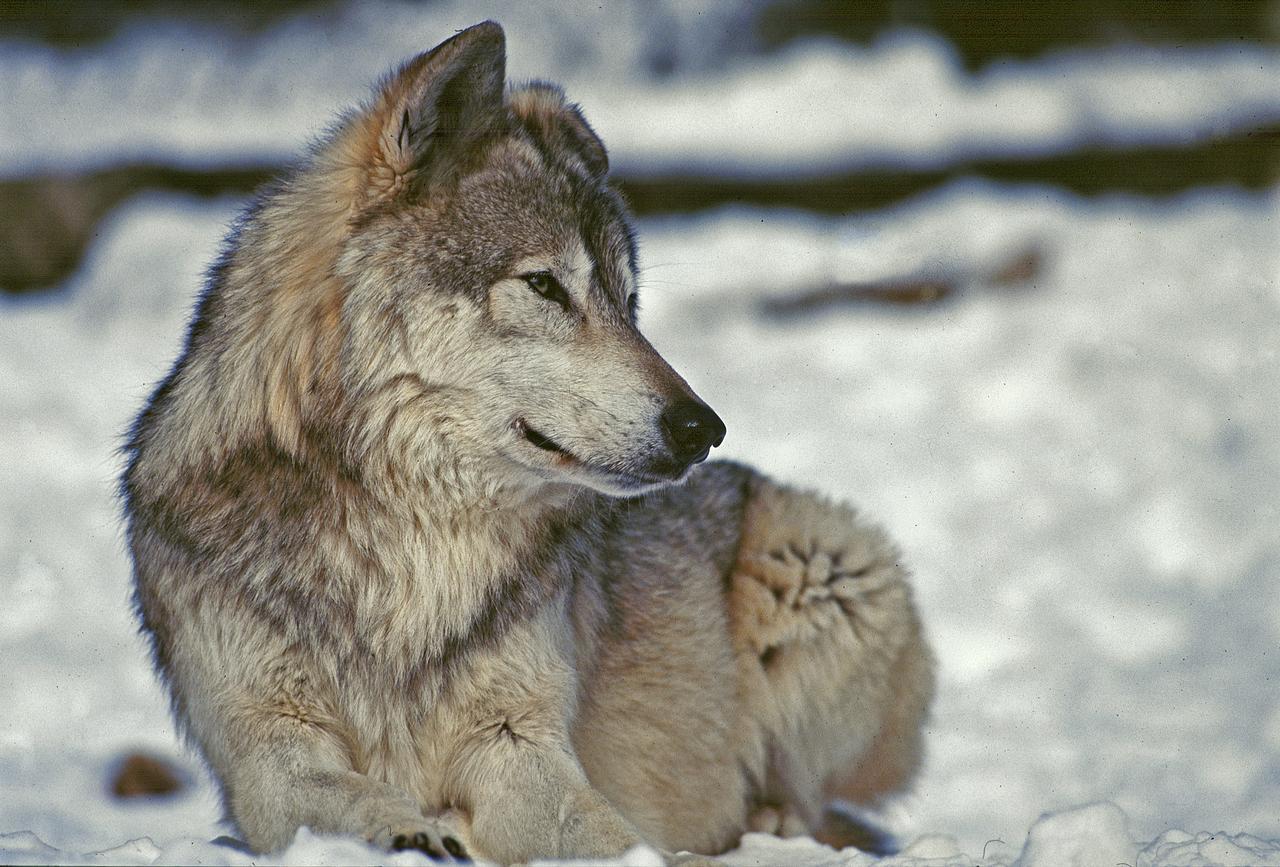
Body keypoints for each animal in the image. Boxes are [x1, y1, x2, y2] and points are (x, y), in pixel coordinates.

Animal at [122, 23, 931, 860]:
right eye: (545, 285)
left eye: (628, 302)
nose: (701, 428)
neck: (412, 544)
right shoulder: (266, 750)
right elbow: (335, 793)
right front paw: (409, 826)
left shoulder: (516, 739)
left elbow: (608, 832)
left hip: (831, 566)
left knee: (811, 799)